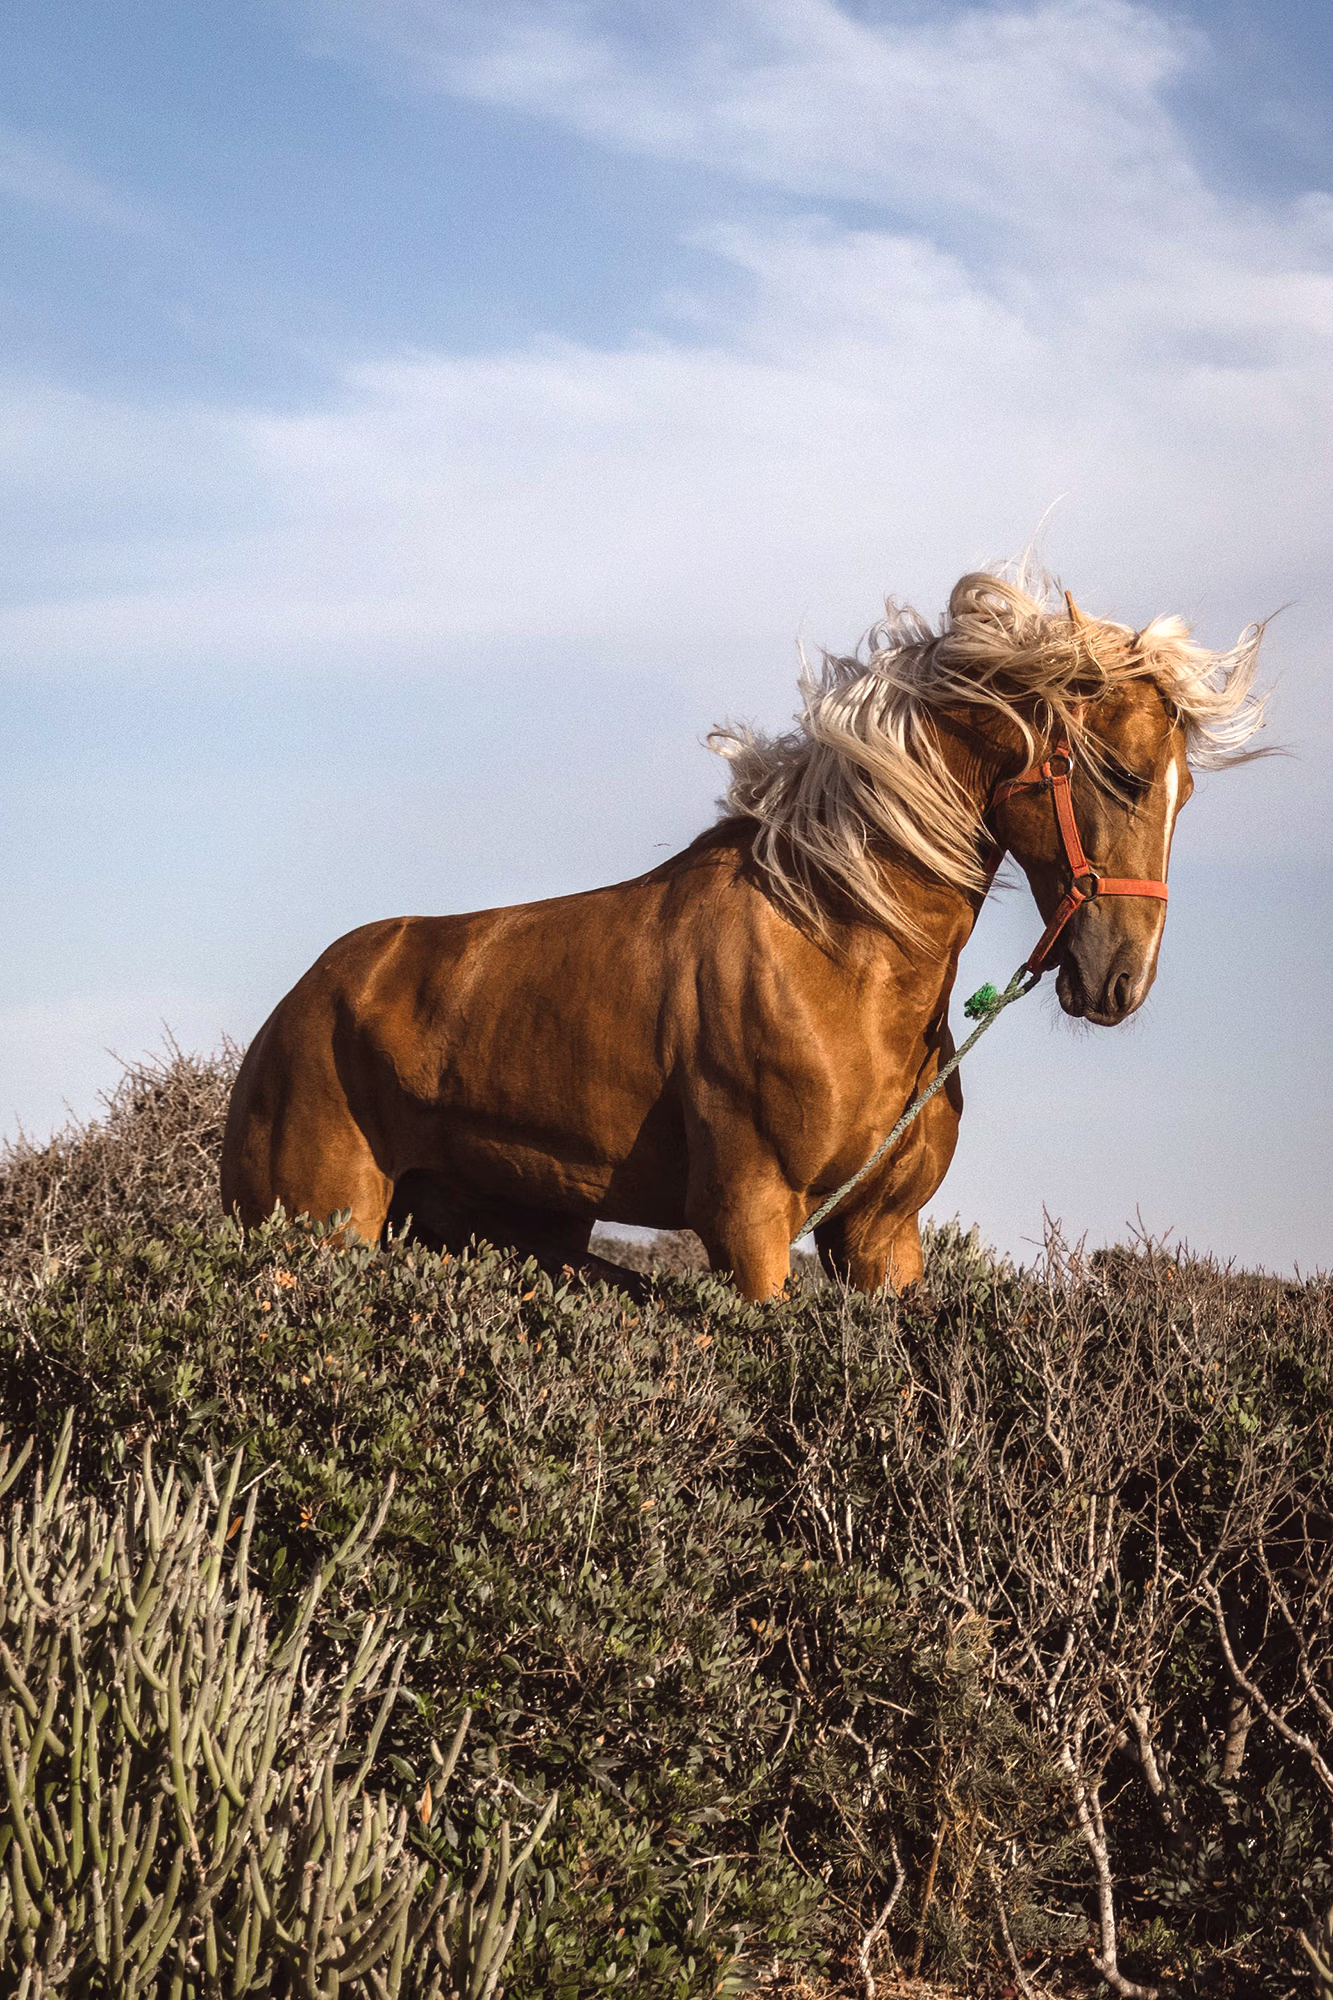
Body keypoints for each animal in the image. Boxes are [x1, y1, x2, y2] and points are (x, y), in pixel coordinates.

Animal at [221, 566, 1265, 1299]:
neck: (843, 960)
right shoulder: (749, 1225)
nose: (1120, 979)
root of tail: (292, 1012)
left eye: (1184, 794)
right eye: (1123, 774)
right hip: (322, 1226)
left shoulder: (881, 1237)